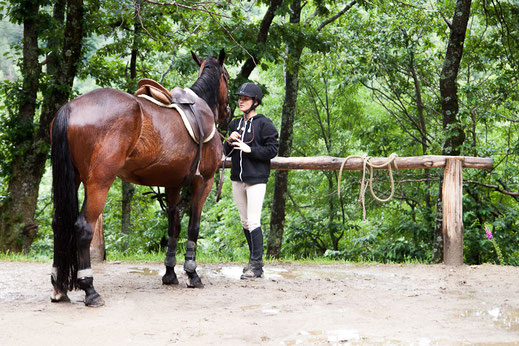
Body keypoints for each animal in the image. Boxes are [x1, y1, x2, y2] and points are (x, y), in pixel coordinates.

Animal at [50, 50, 230, 306]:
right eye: (227, 77)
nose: (227, 113)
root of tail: (70, 107)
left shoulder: (172, 184)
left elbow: (173, 226)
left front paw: (170, 273)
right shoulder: (203, 182)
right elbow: (193, 227)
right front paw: (192, 274)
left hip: (73, 178)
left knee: (59, 223)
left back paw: (58, 286)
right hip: (99, 182)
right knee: (83, 227)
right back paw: (89, 289)